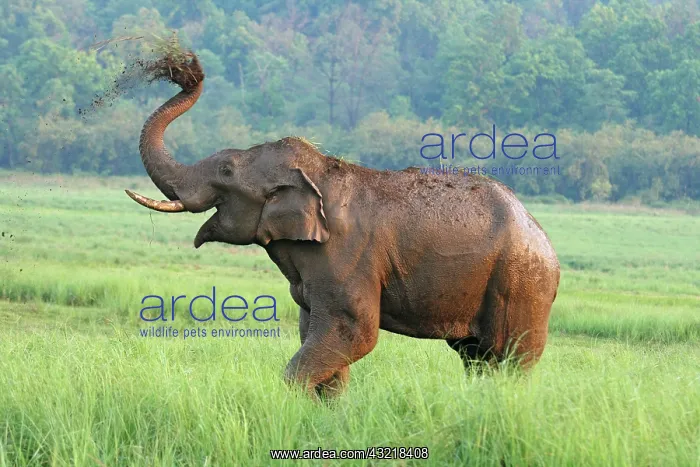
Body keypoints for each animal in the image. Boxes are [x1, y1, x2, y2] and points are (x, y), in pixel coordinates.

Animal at [126, 54, 560, 398]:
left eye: (226, 171)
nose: (187, 72)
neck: (318, 172)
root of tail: (543, 237)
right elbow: (317, 335)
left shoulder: (346, 257)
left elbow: (352, 332)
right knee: (476, 358)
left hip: (521, 285)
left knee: (509, 358)